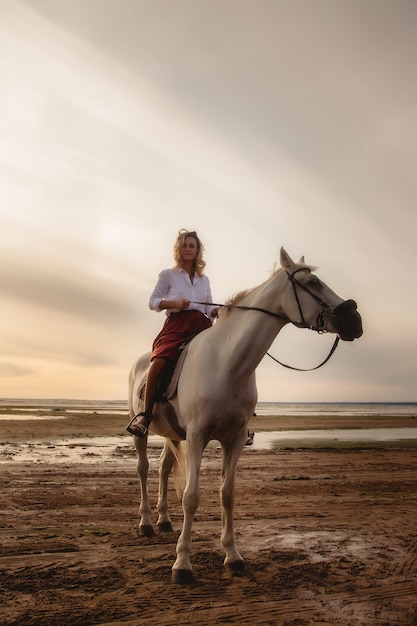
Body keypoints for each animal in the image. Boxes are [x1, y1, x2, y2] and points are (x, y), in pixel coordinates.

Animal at [128, 246, 362, 584]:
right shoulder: (197, 437)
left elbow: (228, 494)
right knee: (144, 469)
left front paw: (233, 556)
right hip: (144, 434)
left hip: (174, 435)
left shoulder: (234, 440)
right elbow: (191, 497)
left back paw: (163, 520)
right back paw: (146, 522)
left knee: (162, 469)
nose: (355, 320)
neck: (227, 363)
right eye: (314, 282)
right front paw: (182, 564)